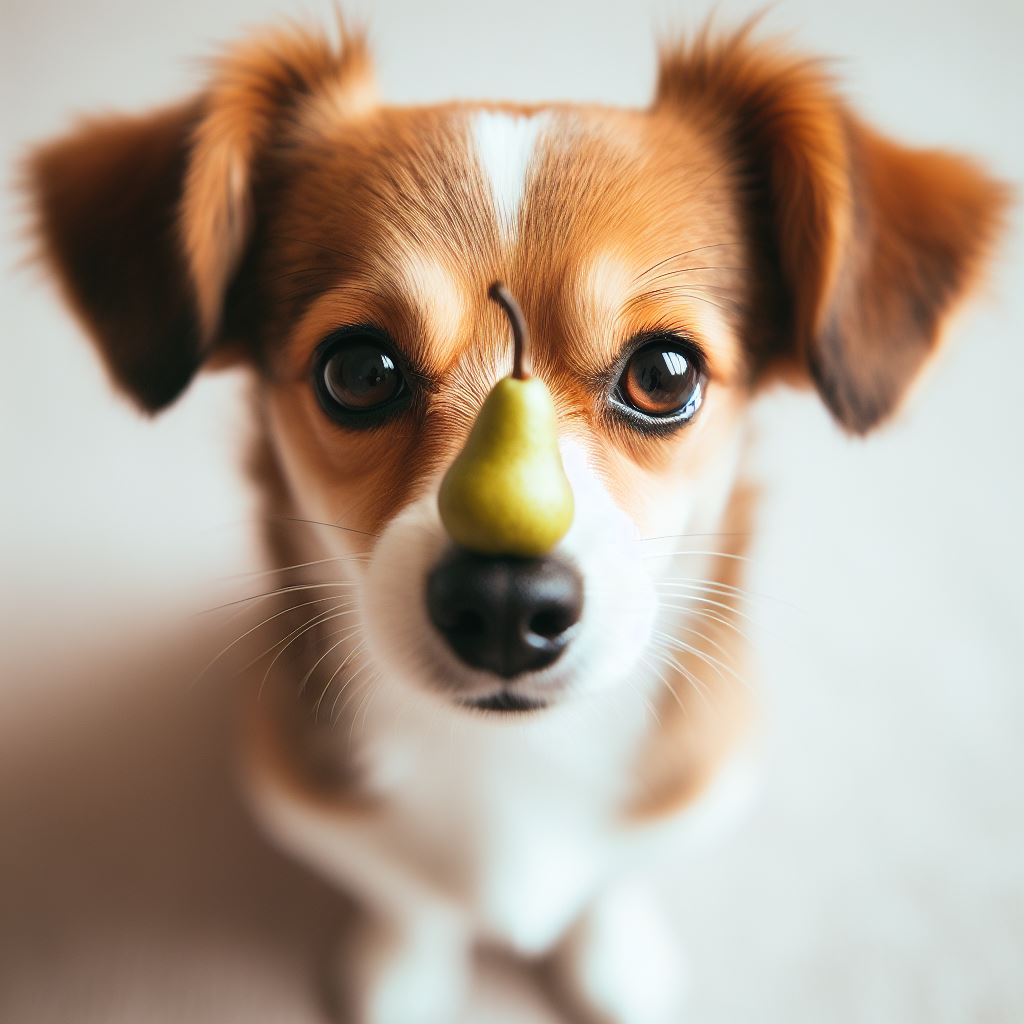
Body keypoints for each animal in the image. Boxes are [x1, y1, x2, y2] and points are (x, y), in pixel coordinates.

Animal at [28, 18, 1003, 1024]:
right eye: (358, 370)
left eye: (665, 373)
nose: (502, 603)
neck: (512, 762)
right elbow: (406, 893)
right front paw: (404, 972)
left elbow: (615, 878)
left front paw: (616, 961)